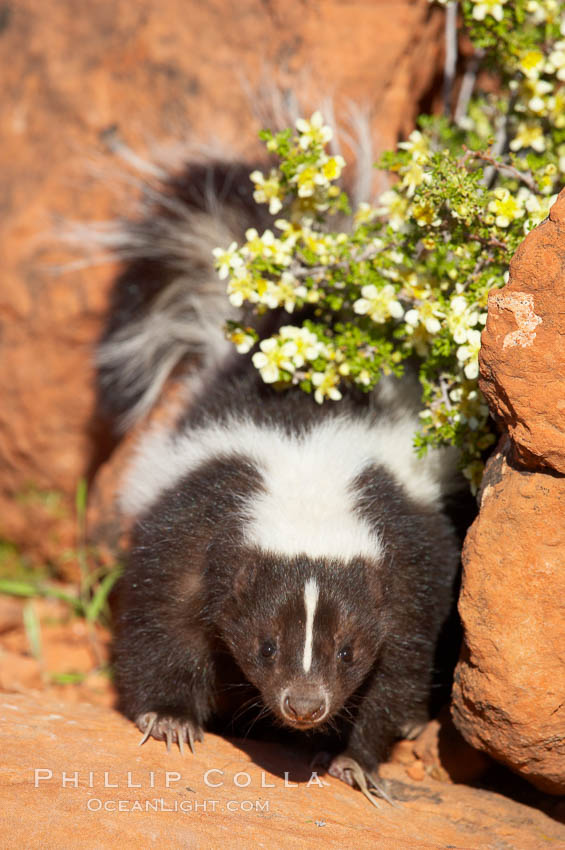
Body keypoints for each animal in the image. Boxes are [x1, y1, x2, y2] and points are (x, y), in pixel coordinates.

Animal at [100, 156, 462, 800]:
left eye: (347, 651)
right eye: (265, 645)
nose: (304, 706)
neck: (308, 475)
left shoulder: (410, 564)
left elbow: (400, 665)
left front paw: (354, 761)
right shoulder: (192, 528)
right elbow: (161, 622)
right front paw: (170, 720)